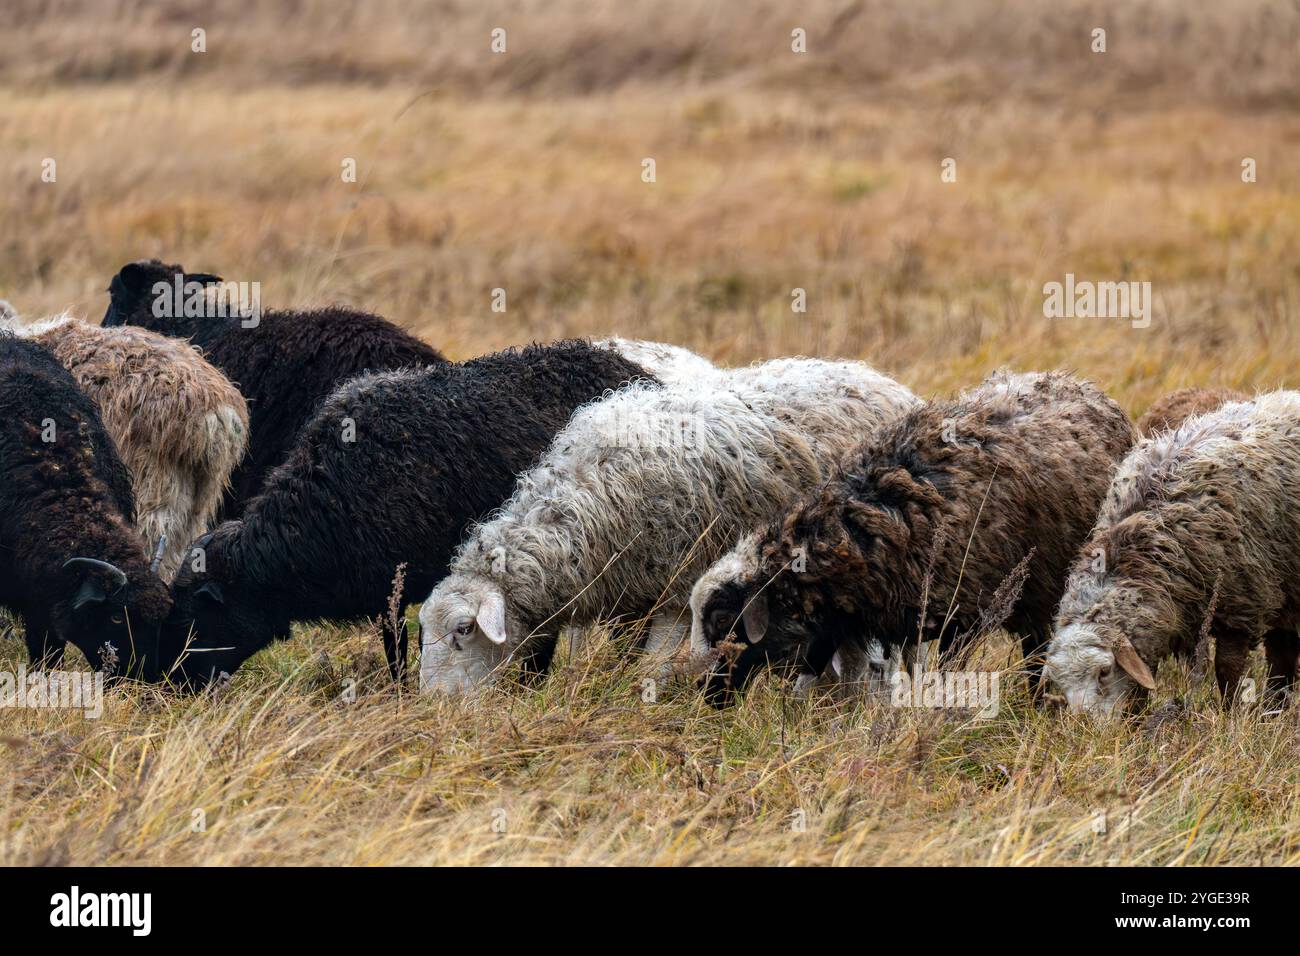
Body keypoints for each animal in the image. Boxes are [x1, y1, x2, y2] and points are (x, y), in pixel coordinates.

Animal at [155, 340, 652, 688]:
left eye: (193, 618)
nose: (174, 687)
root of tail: (635, 373)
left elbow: (404, 644)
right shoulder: (383, 589)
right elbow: (394, 644)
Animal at [690, 370, 1135, 701]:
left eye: (723, 620)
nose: (704, 694)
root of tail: (1077, 382)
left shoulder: (963, 617)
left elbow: (947, 671)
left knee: (1035, 650)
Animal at [1046, 391, 1300, 716]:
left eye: (1104, 671)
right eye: (1061, 684)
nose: (1084, 724)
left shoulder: (1240, 605)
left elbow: (1227, 670)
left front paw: (1229, 713)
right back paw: (1274, 708)